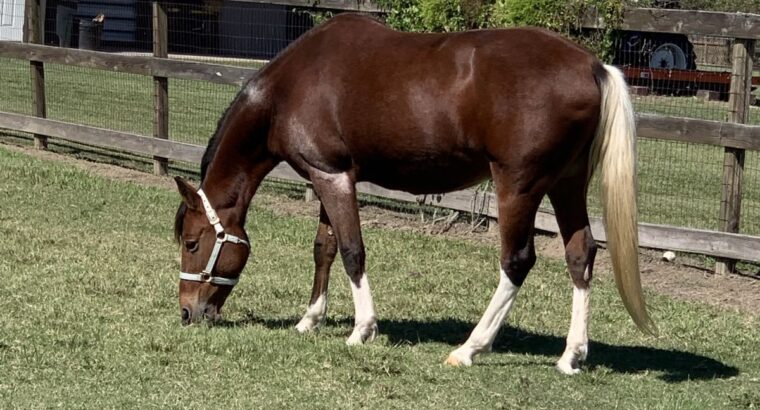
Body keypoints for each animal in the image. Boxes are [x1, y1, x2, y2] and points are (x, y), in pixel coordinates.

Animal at [172, 13, 652, 374]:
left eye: (193, 243)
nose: (187, 313)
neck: (290, 87)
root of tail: (592, 66)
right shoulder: (327, 176)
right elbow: (324, 248)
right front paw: (310, 320)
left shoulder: (333, 177)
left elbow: (352, 251)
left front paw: (362, 329)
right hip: (566, 182)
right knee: (580, 254)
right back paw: (571, 356)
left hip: (519, 184)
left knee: (517, 261)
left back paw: (470, 348)